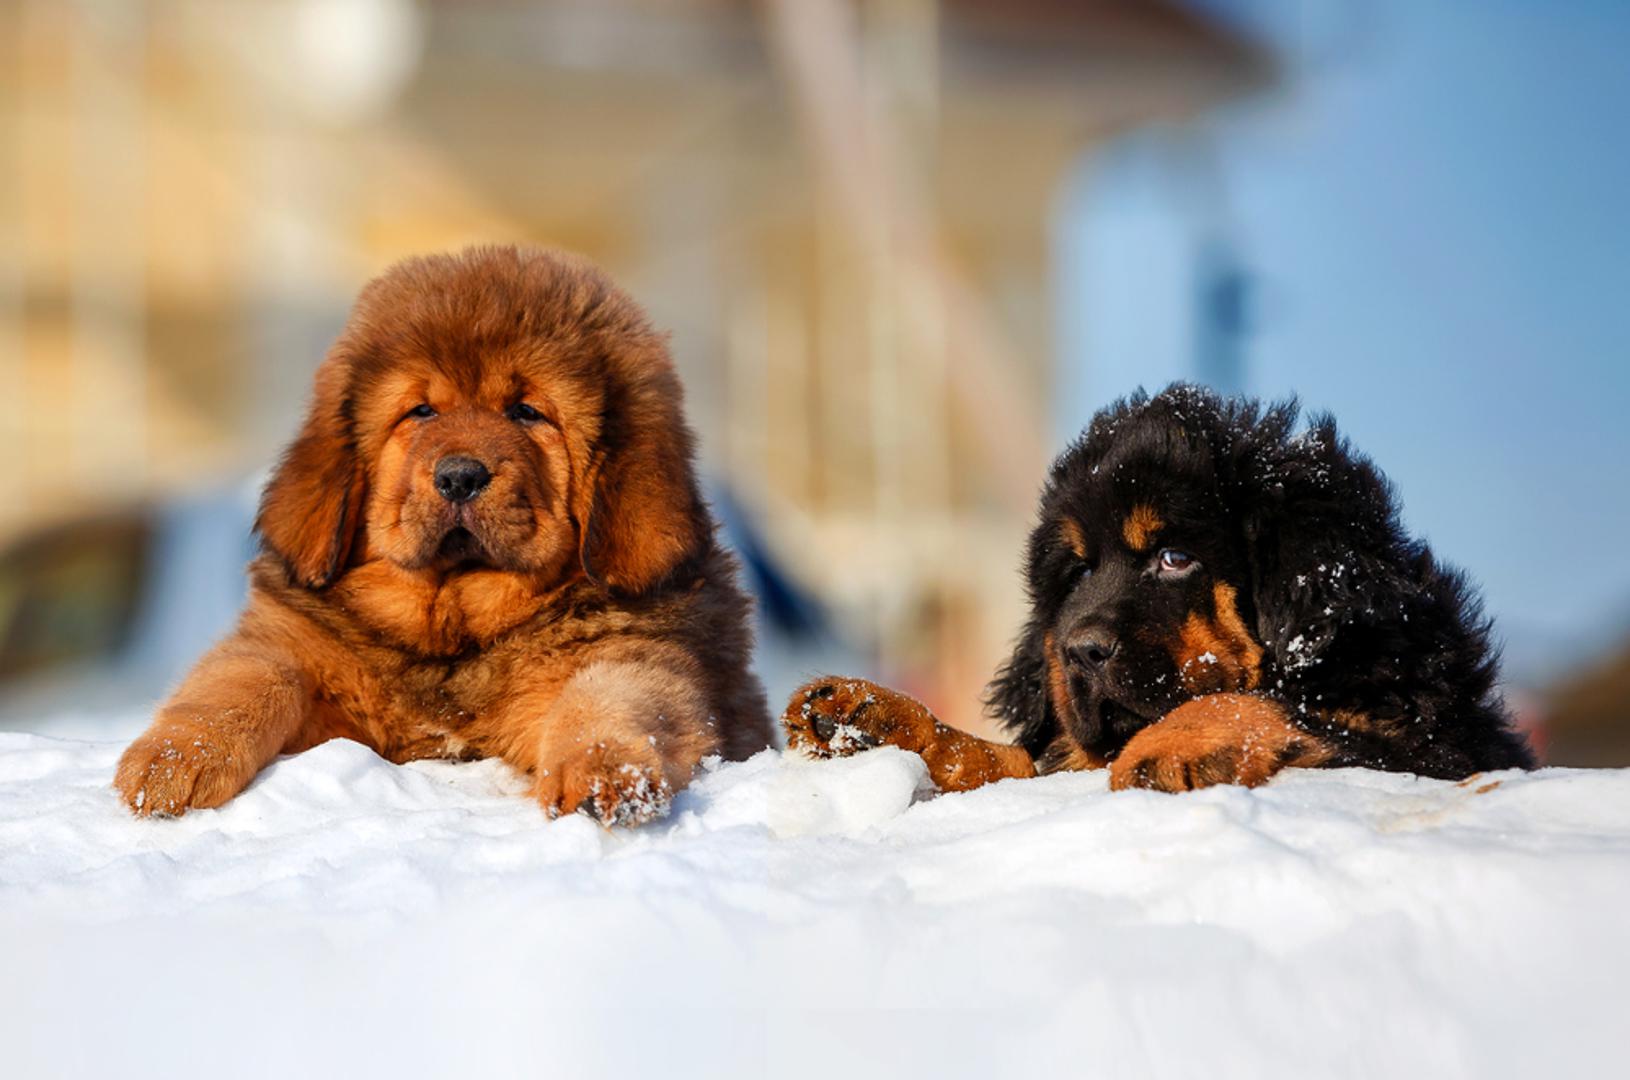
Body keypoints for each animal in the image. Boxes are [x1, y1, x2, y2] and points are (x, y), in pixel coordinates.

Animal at [120, 244, 769, 824]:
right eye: (422, 412)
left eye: (526, 412)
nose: (459, 476)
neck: (455, 631)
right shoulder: (291, 647)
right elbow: (240, 680)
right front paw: (172, 760)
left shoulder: (635, 650)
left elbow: (607, 700)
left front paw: (606, 773)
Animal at [782, 384, 1532, 791]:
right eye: (1079, 571)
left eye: (1174, 558)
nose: (1080, 652)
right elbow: (1002, 759)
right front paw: (876, 720)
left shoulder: (1445, 749)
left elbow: (1277, 705)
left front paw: (1171, 744)